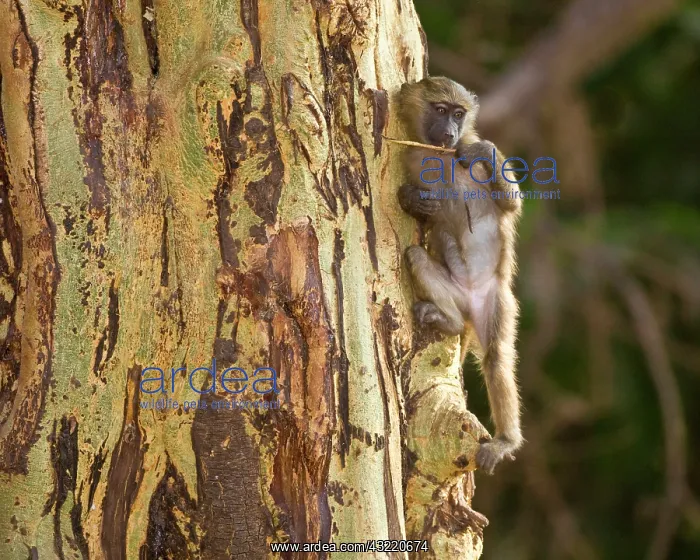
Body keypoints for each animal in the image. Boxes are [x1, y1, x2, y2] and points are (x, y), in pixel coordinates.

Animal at [397, 76, 523, 475]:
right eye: (440, 110)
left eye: (459, 114)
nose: (450, 132)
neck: (441, 157)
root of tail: (468, 303)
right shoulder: (410, 158)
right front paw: (412, 199)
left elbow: (511, 203)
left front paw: (484, 151)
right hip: (454, 294)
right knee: (416, 255)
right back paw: (447, 320)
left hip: (495, 301)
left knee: (496, 357)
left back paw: (506, 441)